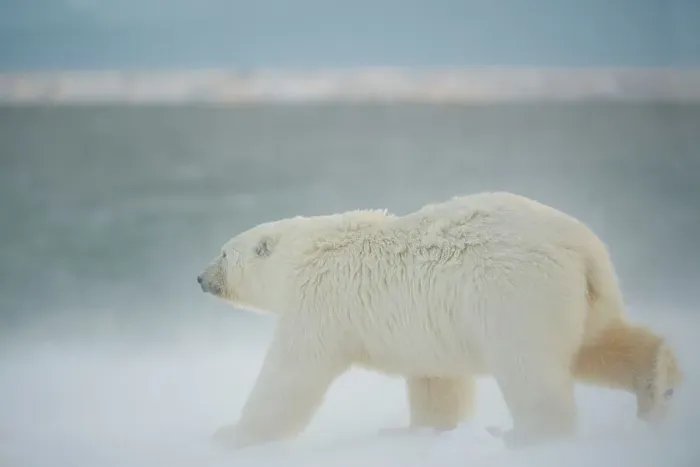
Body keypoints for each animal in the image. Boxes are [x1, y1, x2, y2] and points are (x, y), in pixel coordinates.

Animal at [197, 191, 682, 450]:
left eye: (222, 253)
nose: (200, 278)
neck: (305, 254)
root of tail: (581, 247)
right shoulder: (423, 331)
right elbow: (436, 381)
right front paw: (421, 431)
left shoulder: (320, 301)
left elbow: (291, 375)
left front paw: (230, 434)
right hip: (585, 294)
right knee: (596, 343)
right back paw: (659, 383)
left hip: (515, 294)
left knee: (532, 369)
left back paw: (525, 436)